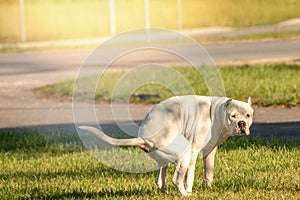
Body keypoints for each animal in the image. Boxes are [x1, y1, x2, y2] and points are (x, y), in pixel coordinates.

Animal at [79, 95, 253, 195]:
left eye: (248, 115)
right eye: (233, 116)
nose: (242, 124)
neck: (216, 112)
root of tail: (145, 137)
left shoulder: (210, 151)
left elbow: (208, 172)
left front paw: (209, 188)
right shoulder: (194, 150)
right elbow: (190, 175)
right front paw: (190, 188)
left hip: (163, 157)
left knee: (160, 178)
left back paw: (164, 191)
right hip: (183, 154)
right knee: (176, 179)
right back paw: (185, 194)